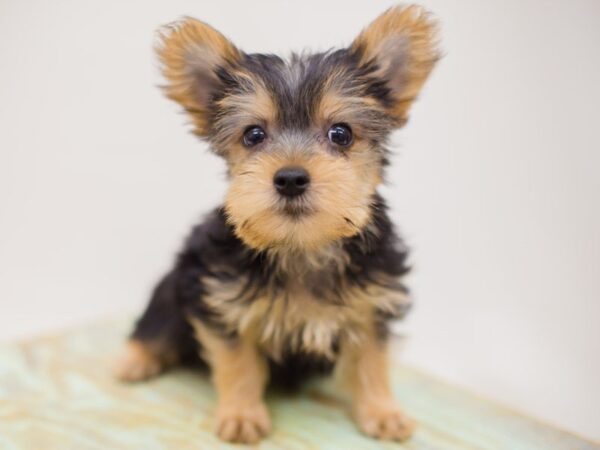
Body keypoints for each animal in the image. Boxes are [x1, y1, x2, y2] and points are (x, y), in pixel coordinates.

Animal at [116, 5, 436, 444]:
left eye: (341, 134)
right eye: (253, 135)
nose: (290, 178)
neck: (302, 247)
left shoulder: (373, 304)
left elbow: (372, 360)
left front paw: (383, 411)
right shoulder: (221, 300)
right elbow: (238, 363)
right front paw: (241, 415)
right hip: (176, 282)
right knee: (156, 322)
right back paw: (134, 359)